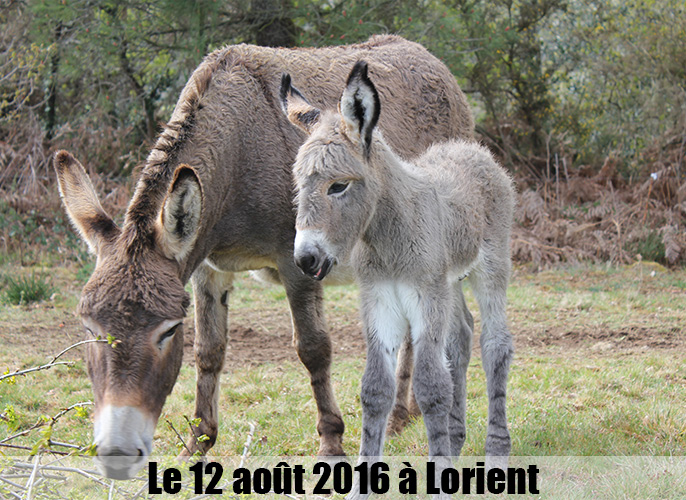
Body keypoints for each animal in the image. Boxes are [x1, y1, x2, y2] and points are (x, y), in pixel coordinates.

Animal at [280, 61, 516, 496]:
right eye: (299, 187)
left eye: (338, 186)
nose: (305, 259)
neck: (387, 234)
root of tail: (468, 147)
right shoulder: (380, 300)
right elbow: (375, 389)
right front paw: (361, 487)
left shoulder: (425, 295)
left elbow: (430, 385)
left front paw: (439, 479)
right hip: (449, 283)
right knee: (461, 336)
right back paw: (456, 439)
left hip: (489, 268)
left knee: (495, 344)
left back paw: (496, 449)